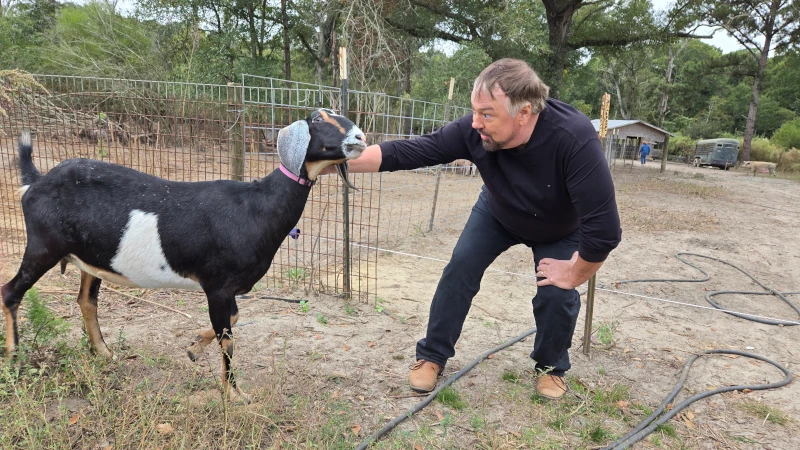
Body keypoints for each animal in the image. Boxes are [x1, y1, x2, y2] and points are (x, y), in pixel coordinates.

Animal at [2, 108, 366, 403]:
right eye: (317, 119)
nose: (360, 138)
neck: (255, 206)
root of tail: (35, 182)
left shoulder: (227, 290)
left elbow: (231, 321)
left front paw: (192, 349)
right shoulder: (217, 285)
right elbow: (227, 337)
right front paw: (235, 394)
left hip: (89, 258)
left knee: (86, 301)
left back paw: (105, 353)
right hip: (43, 246)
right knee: (11, 292)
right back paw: (13, 359)